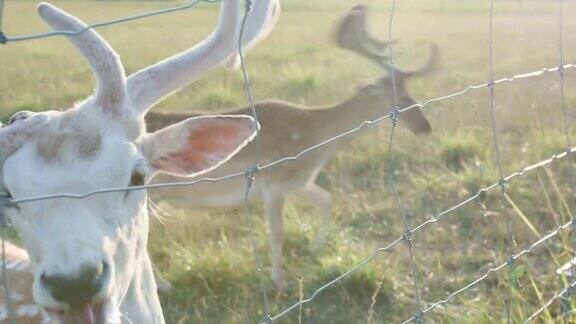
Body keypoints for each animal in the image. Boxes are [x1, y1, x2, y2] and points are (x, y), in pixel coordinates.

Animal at [145, 4, 436, 288]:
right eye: (400, 96)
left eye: (410, 92)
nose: (425, 126)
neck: (314, 142)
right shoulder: (273, 183)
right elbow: (277, 233)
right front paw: (279, 282)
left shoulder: (298, 182)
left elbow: (327, 200)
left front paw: (315, 250)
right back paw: (164, 285)